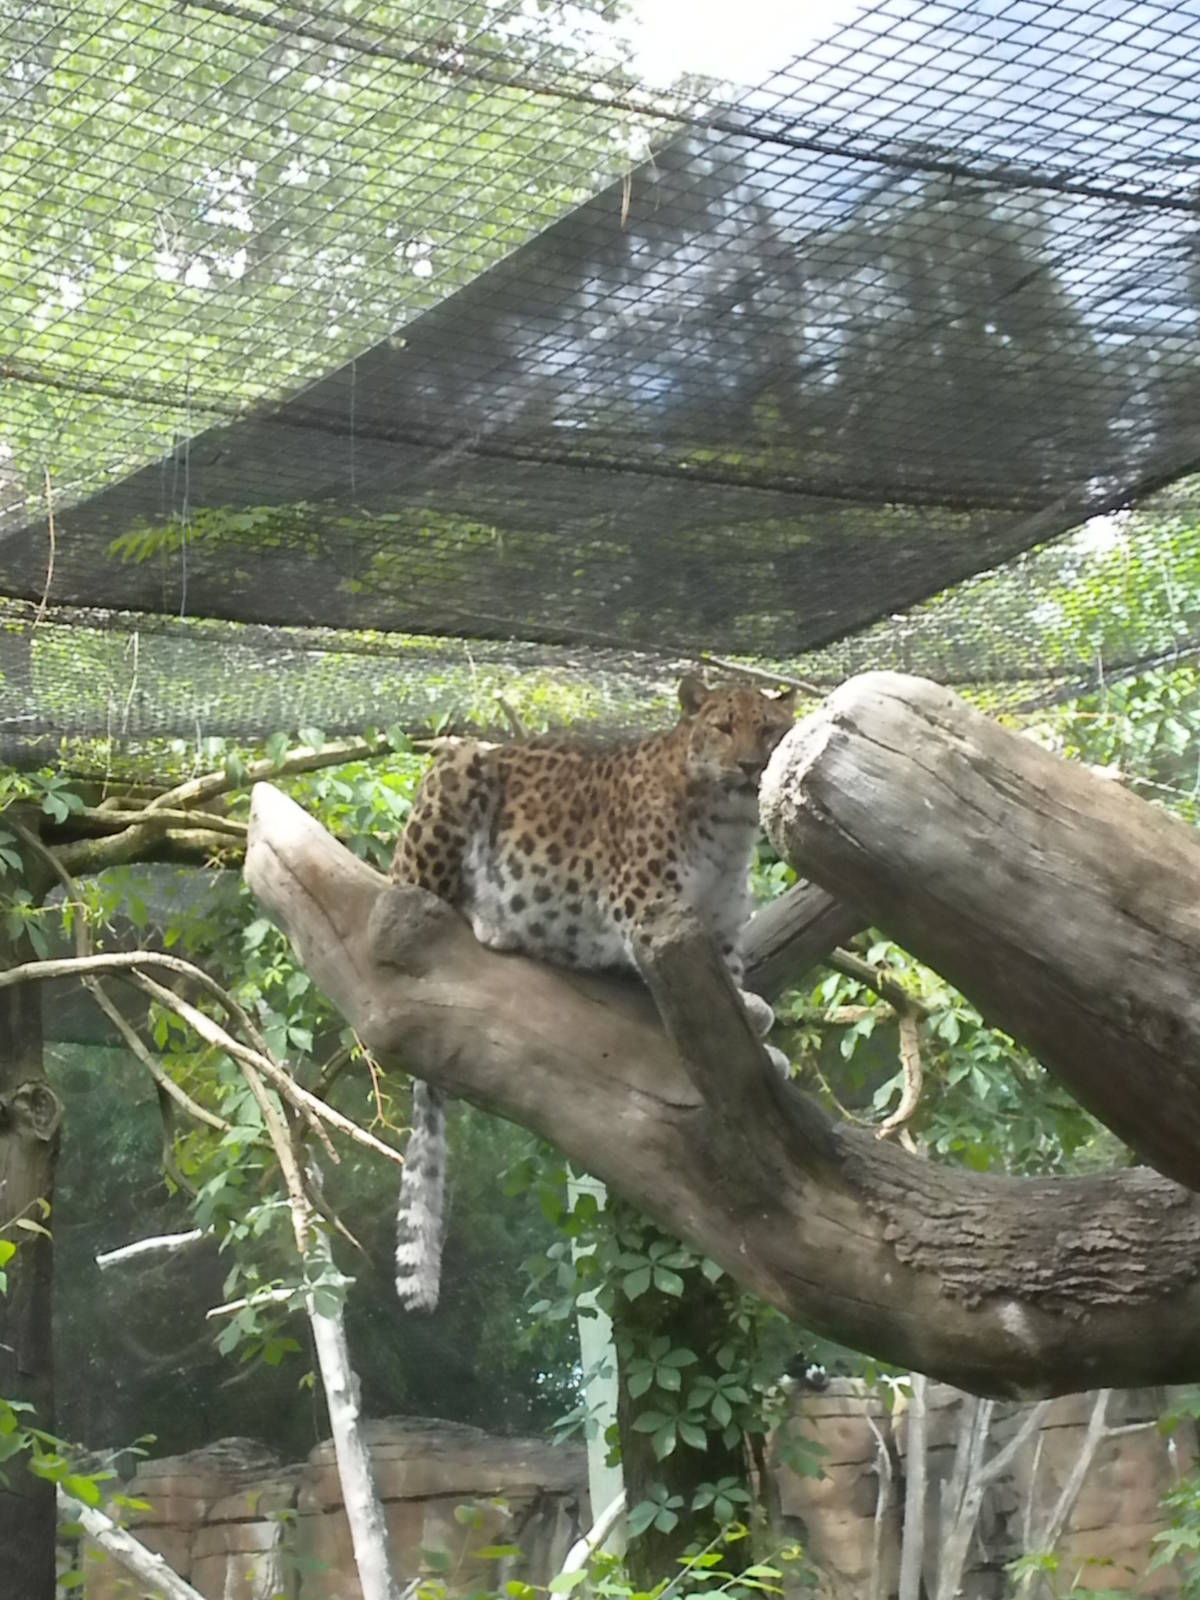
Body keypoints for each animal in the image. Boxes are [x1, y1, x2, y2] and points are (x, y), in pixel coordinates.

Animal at [390, 674, 797, 1311]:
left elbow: (730, 993)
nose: (752, 765)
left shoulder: (720, 934)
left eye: (771, 730)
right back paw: (492, 920)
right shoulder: (645, 907)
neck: (730, 833)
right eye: (724, 726)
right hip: (454, 774)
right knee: (424, 894)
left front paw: (760, 1033)